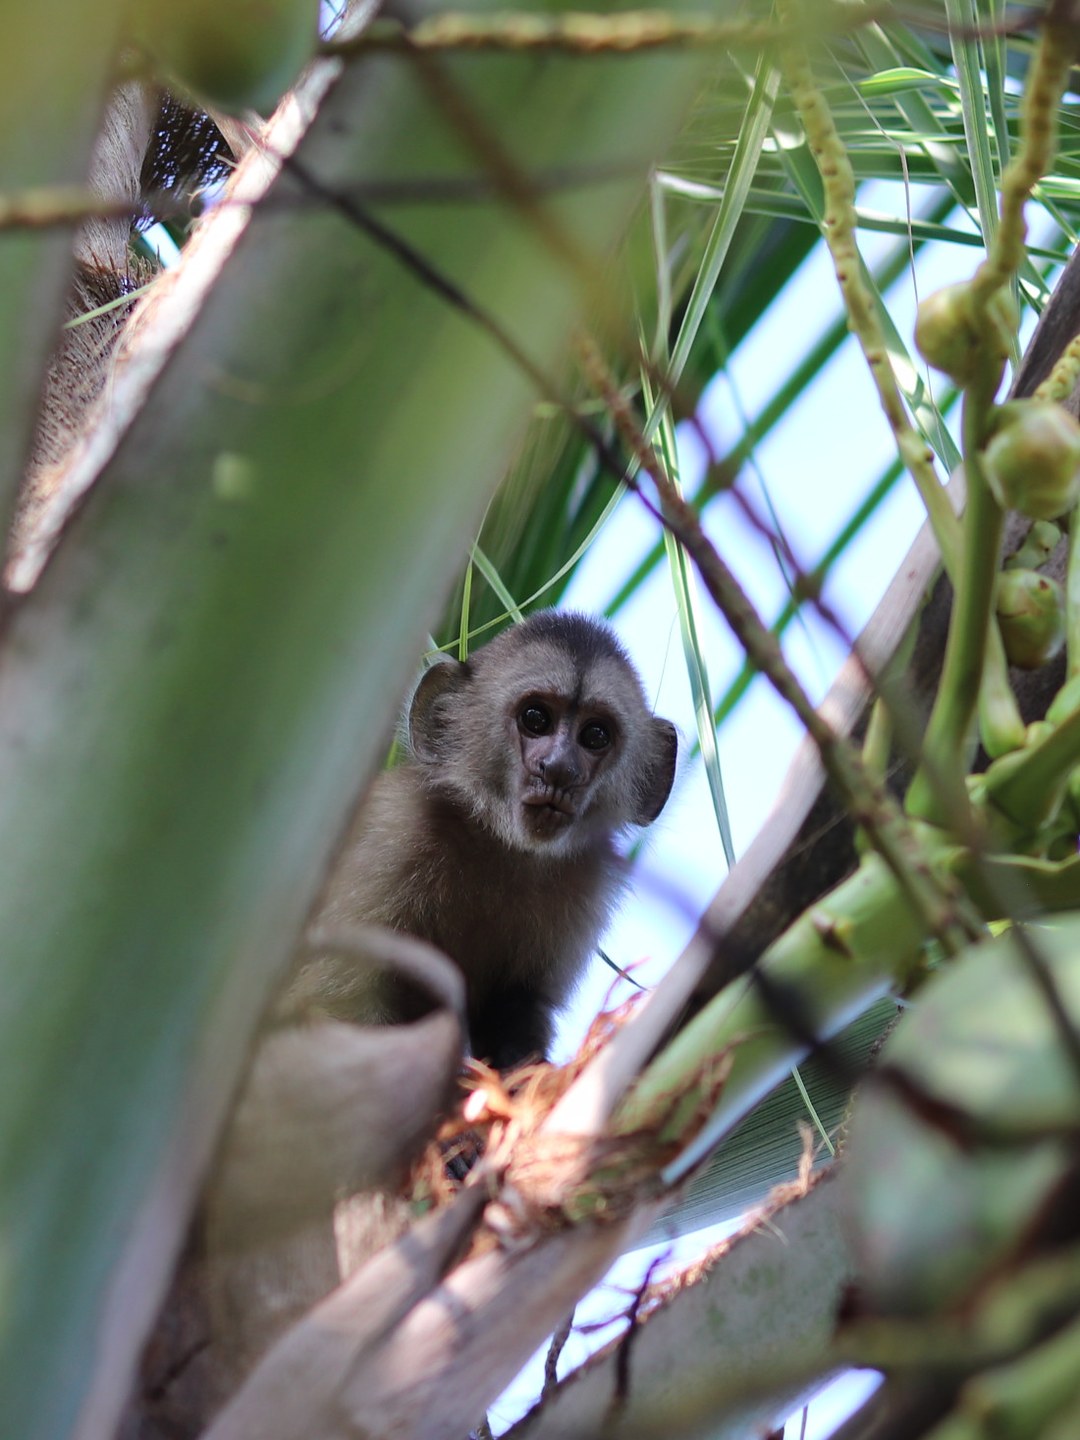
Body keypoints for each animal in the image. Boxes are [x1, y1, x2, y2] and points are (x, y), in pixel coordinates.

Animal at [286, 610, 678, 1069]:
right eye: (536, 719)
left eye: (595, 736)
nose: (560, 769)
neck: (498, 843)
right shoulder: (396, 831)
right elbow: (332, 1009)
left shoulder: (585, 881)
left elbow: (517, 1011)